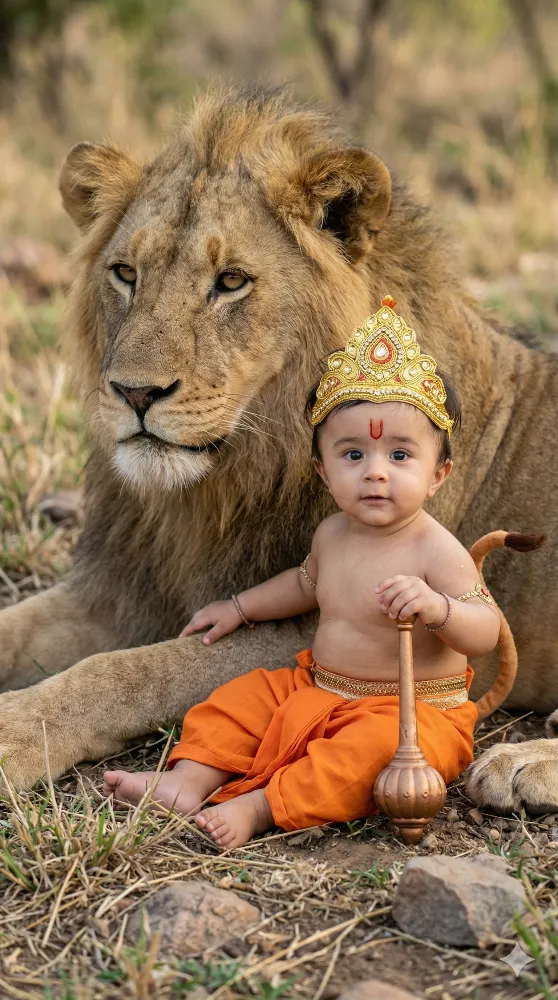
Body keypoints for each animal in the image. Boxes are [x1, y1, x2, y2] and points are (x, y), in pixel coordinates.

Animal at [0, 86, 556, 815]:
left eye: (232, 281)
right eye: (124, 274)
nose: (134, 392)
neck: (216, 490)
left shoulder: (317, 638)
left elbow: (127, 671)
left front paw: (10, 733)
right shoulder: (123, 593)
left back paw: (521, 764)